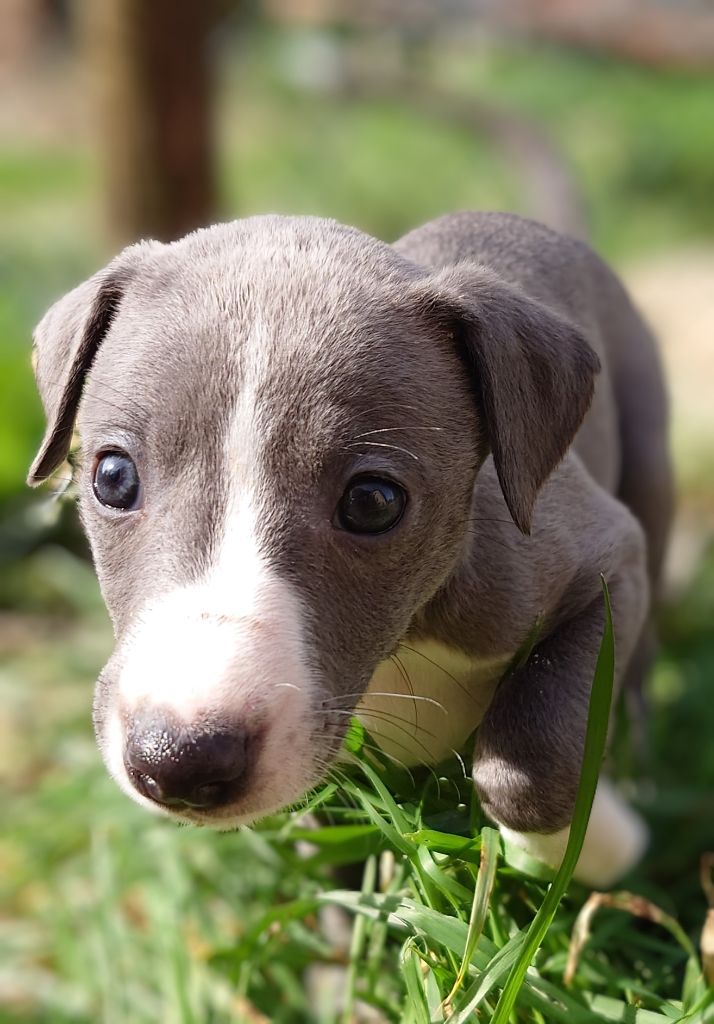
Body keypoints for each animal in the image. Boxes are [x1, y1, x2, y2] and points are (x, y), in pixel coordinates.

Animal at [27, 209, 672, 888]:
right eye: (112, 477)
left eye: (372, 502)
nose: (178, 759)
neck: (402, 645)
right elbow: (321, 844)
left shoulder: (605, 564)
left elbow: (531, 762)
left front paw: (601, 841)